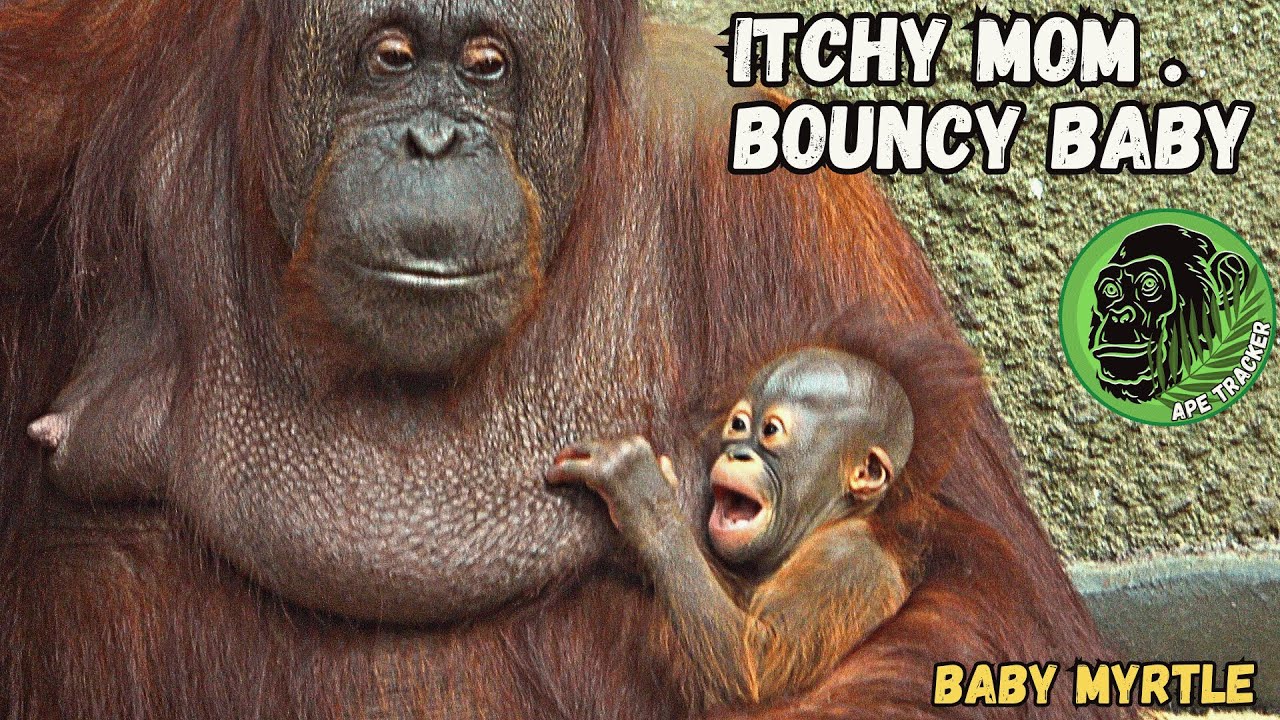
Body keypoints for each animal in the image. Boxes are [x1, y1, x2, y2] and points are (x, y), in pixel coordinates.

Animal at [547, 347, 918, 708]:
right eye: (738, 425)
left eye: (770, 431)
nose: (738, 454)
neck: (832, 519)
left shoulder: (844, 559)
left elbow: (757, 660)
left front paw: (641, 489)